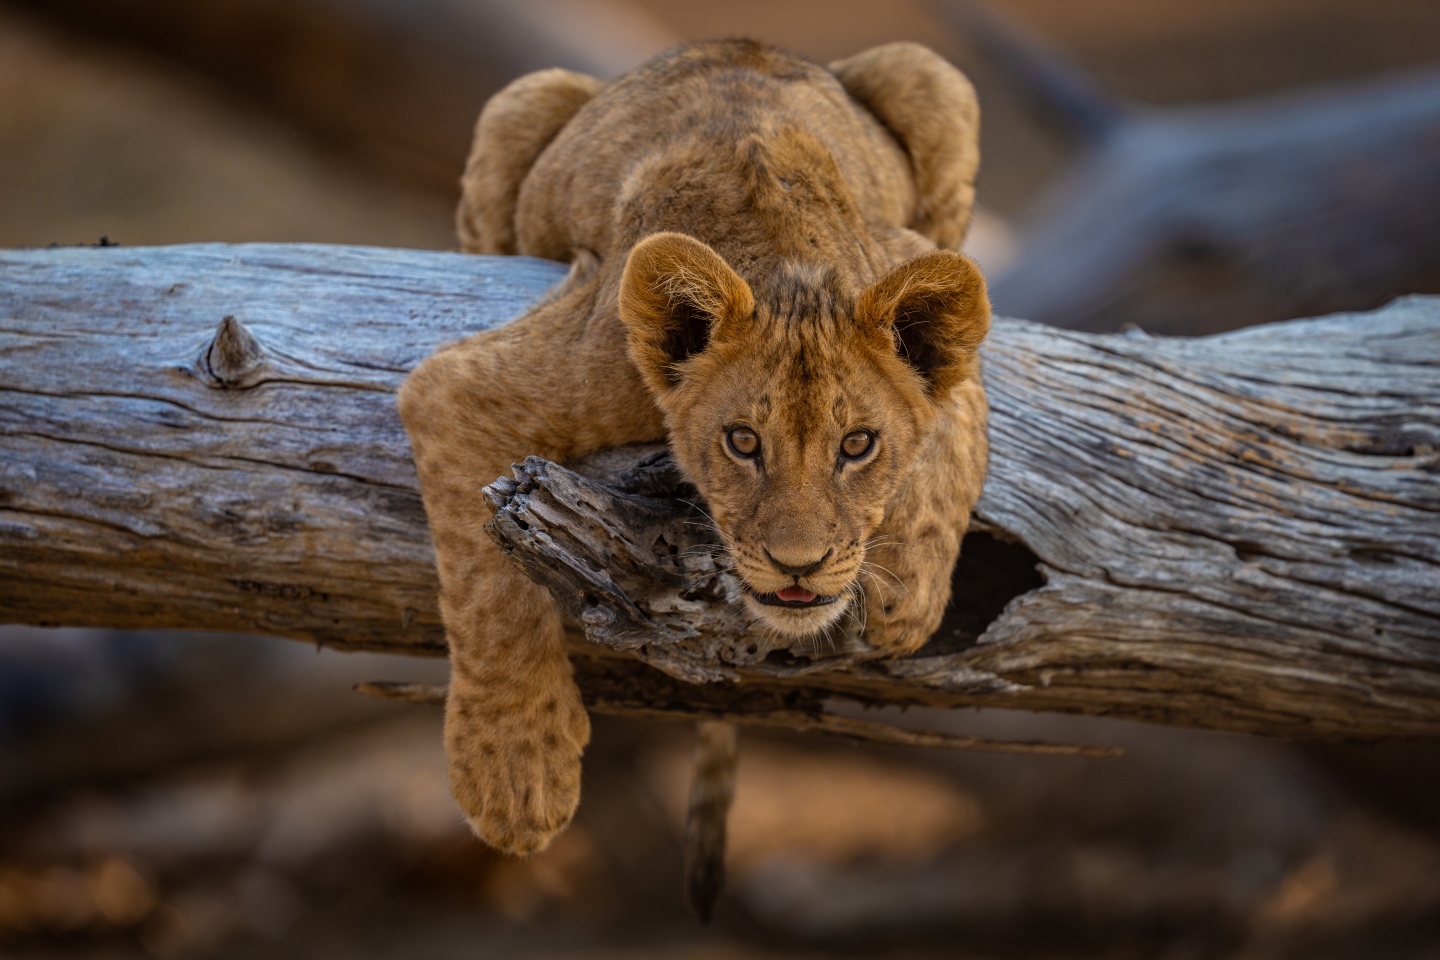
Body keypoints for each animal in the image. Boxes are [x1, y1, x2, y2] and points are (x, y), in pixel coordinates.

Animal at [398, 39, 990, 858]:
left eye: (858, 444)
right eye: (742, 442)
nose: (799, 566)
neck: (788, 267)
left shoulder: (923, 272)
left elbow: (959, 420)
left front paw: (906, 595)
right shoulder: (472, 388)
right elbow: (490, 594)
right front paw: (516, 775)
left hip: (929, 75)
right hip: (517, 107)